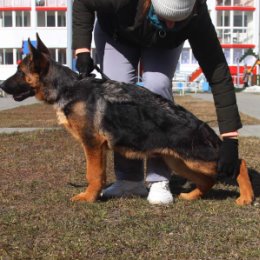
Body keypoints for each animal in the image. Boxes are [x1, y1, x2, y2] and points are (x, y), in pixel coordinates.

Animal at [0, 34, 255, 205]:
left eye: (20, 72)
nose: (2, 85)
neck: (68, 87)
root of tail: (202, 126)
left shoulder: (92, 145)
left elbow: (93, 175)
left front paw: (88, 197)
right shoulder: (98, 148)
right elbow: (98, 174)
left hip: (199, 157)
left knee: (239, 163)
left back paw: (246, 197)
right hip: (180, 161)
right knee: (207, 180)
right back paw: (192, 195)